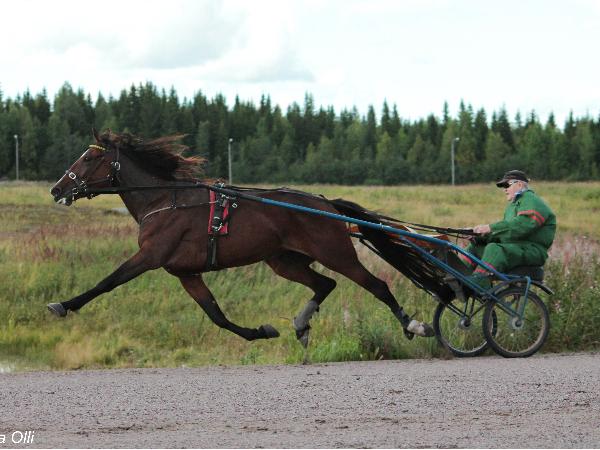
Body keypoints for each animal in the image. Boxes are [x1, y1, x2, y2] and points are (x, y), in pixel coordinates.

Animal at [48, 129, 434, 347]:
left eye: (88, 158)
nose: (56, 189)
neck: (163, 200)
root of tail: (327, 204)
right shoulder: (185, 272)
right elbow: (216, 315)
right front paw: (261, 332)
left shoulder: (152, 255)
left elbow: (107, 282)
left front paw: (63, 305)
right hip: (283, 261)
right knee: (324, 285)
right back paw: (301, 325)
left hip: (335, 253)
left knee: (377, 286)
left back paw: (413, 324)